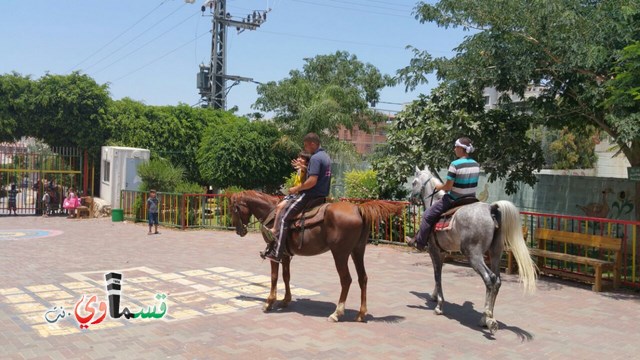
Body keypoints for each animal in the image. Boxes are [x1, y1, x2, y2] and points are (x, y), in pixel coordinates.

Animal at [228, 190, 402, 322]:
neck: (272, 212)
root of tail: (358, 209)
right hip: (357, 251)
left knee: (346, 280)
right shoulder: (285, 254)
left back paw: (337, 313)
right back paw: (361, 314)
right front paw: (285, 300)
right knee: (363, 278)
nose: (239, 231)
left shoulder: (275, 253)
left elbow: (274, 277)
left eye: (233, 210)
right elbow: (286, 276)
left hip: (340, 254)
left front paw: (269, 303)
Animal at [410, 167, 536, 334]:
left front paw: (439, 305)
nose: (410, 198)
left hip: (474, 255)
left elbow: (437, 275)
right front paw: (434, 295)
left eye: (414, 182)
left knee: (489, 279)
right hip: (495, 253)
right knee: (497, 280)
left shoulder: (434, 250)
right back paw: (487, 318)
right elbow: (438, 274)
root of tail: (491, 209)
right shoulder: (442, 253)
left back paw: (488, 318)